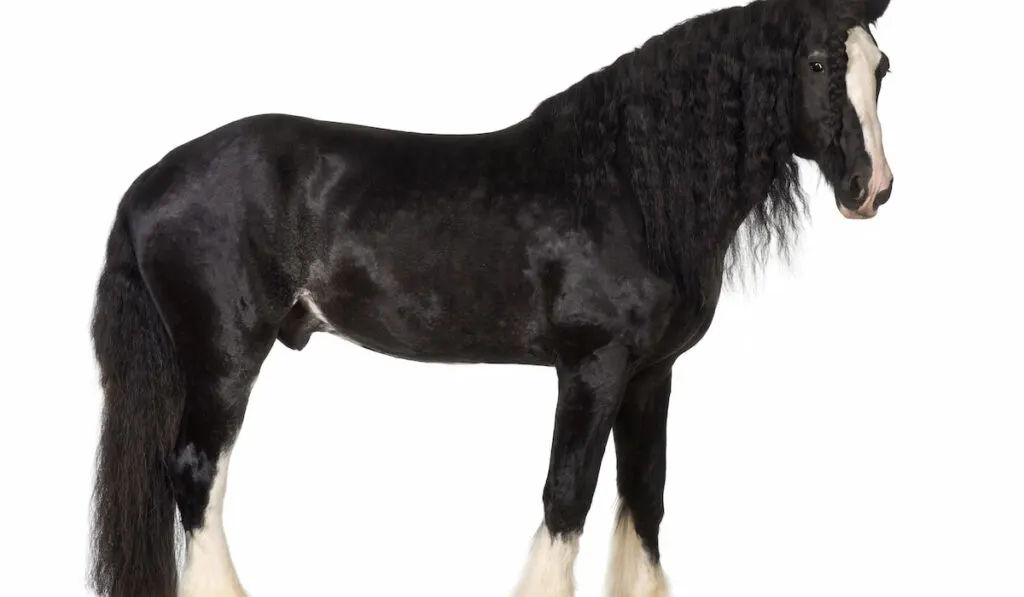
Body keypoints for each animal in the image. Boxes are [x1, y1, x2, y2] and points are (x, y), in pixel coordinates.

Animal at [88, 0, 892, 593]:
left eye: (881, 67)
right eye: (819, 63)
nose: (872, 189)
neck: (626, 189)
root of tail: (148, 185)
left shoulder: (651, 375)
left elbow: (645, 499)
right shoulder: (593, 367)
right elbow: (567, 497)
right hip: (223, 358)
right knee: (197, 475)